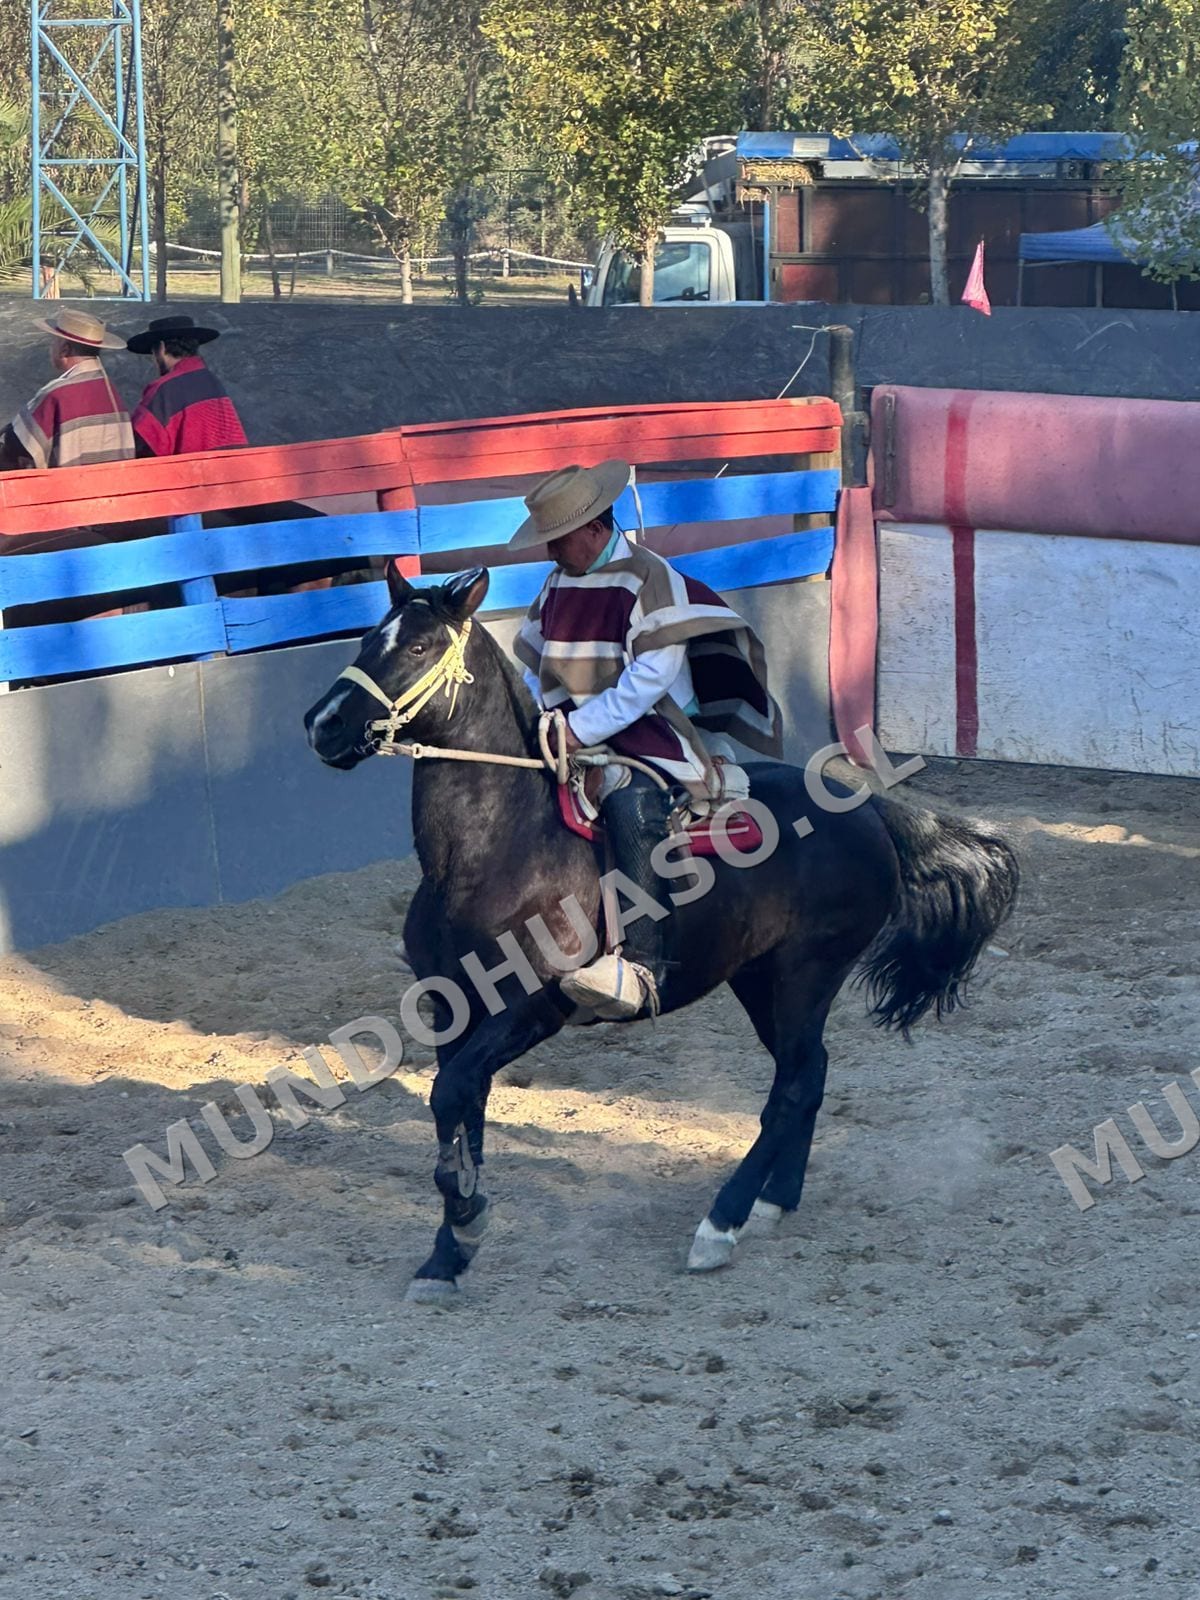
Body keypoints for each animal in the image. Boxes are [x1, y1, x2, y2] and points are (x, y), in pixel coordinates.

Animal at [304, 564, 1019, 1301]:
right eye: (369, 637)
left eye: (418, 648)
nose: (324, 724)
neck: (495, 850)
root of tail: (869, 807)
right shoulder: (453, 1009)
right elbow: (458, 1108)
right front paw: (450, 1252)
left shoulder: (533, 1009)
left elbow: (452, 1096)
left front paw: (465, 1225)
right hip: (759, 980)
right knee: (808, 1071)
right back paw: (774, 1200)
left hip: (806, 973)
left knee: (794, 1083)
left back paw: (722, 1224)